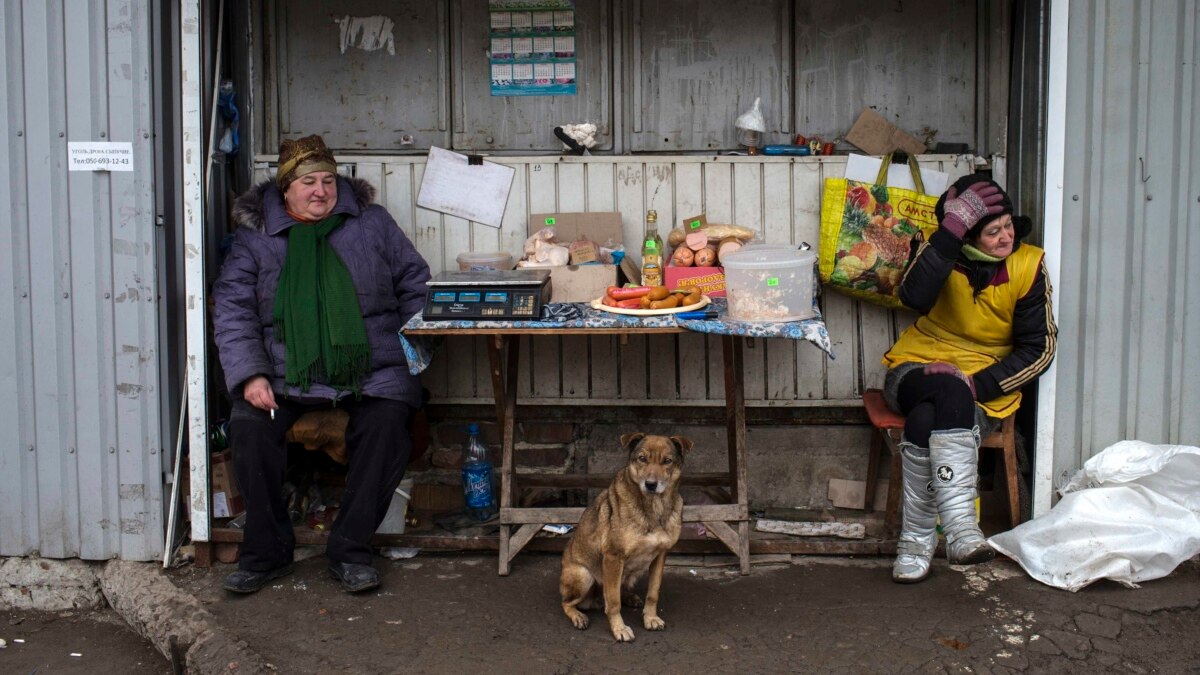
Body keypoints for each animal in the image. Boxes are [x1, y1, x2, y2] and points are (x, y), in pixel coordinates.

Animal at [556, 429, 691, 638]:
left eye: (667, 461)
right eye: (642, 458)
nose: (650, 484)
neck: (654, 507)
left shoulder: (660, 556)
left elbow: (653, 593)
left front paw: (650, 618)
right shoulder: (613, 557)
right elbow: (613, 602)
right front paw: (619, 628)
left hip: (630, 573)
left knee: (617, 590)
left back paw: (629, 597)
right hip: (583, 575)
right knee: (568, 602)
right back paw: (578, 616)